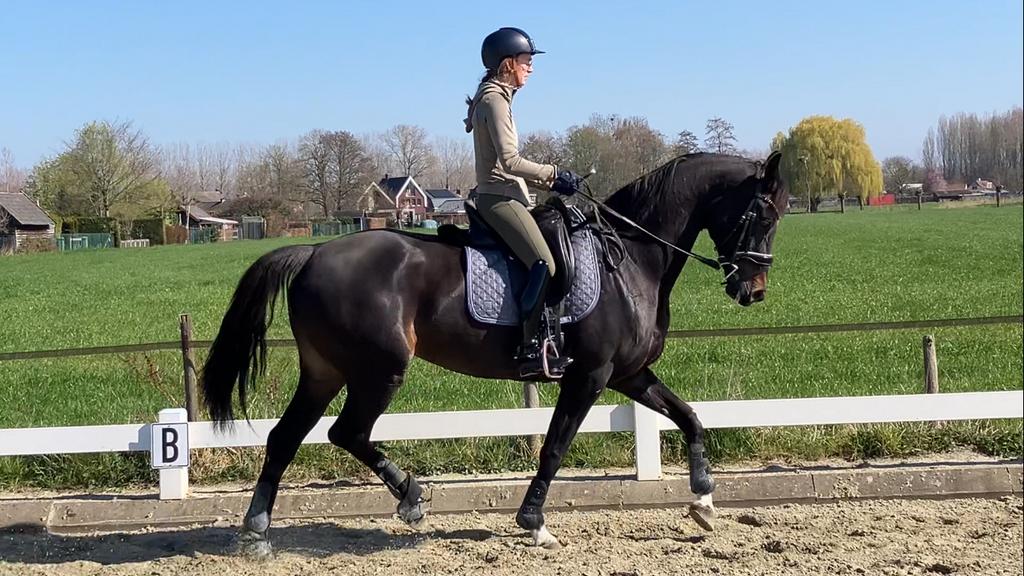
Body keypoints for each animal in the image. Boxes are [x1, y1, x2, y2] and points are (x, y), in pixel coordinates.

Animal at [200, 151, 787, 555]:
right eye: (763, 214)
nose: (754, 291)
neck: (630, 259)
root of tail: (314, 251)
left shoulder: (630, 374)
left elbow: (690, 417)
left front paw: (704, 500)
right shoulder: (590, 376)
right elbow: (554, 446)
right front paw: (535, 524)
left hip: (324, 372)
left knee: (286, 437)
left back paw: (257, 532)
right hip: (378, 370)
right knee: (347, 432)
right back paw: (411, 497)